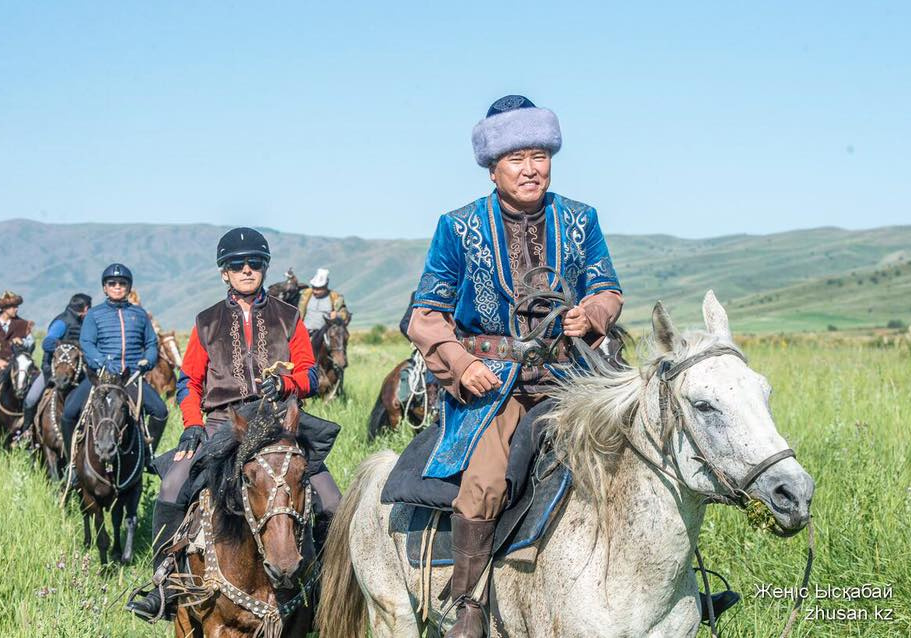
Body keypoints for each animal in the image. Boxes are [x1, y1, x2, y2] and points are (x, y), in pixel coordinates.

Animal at [73, 370, 146, 564]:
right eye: (94, 406)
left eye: (123, 406)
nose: (106, 448)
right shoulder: (90, 495)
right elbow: (101, 532)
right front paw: (105, 566)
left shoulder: (131, 489)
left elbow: (126, 519)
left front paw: (123, 554)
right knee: (84, 512)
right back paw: (87, 541)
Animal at [173, 402, 316, 636]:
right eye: (247, 478)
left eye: (304, 474)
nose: (284, 566)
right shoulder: (217, 625)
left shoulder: (298, 624)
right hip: (183, 616)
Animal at [318, 296, 816, 638]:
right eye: (703, 404)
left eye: (765, 392)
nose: (794, 492)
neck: (623, 566)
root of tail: (381, 472)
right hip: (392, 614)